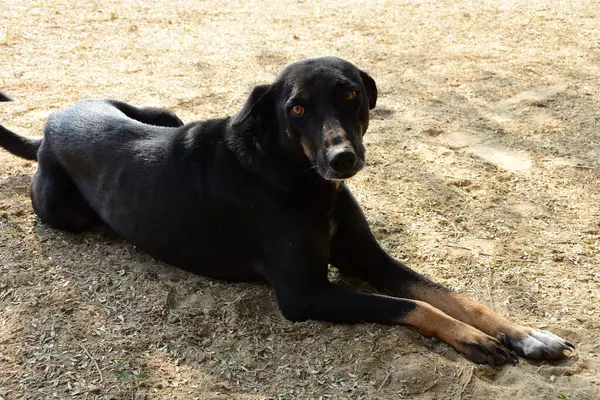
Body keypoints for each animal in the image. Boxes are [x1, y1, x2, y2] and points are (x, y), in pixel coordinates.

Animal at [0, 57, 572, 366]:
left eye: (350, 94)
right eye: (296, 108)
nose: (343, 159)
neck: (297, 177)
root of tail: (50, 126)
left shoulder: (370, 259)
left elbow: (449, 295)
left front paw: (526, 334)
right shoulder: (306, 294)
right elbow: (415, 306)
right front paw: (475, 340)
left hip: (163, 113)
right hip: (64, 212)